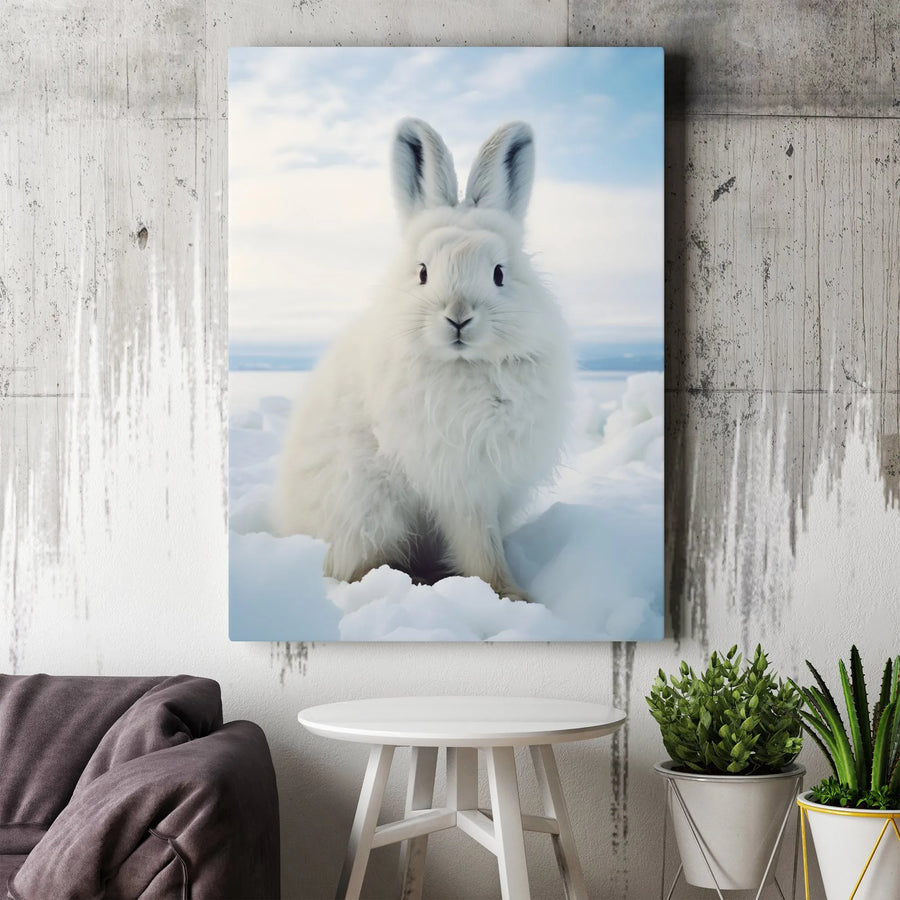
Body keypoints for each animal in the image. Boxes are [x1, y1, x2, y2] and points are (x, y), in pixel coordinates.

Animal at [272, 118, 573, 603]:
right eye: (423, 272)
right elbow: (480, 545)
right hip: (366, 510)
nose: (458, 317)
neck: (464, 366)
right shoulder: (461, 486)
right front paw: (511, 596)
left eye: (499, 274)